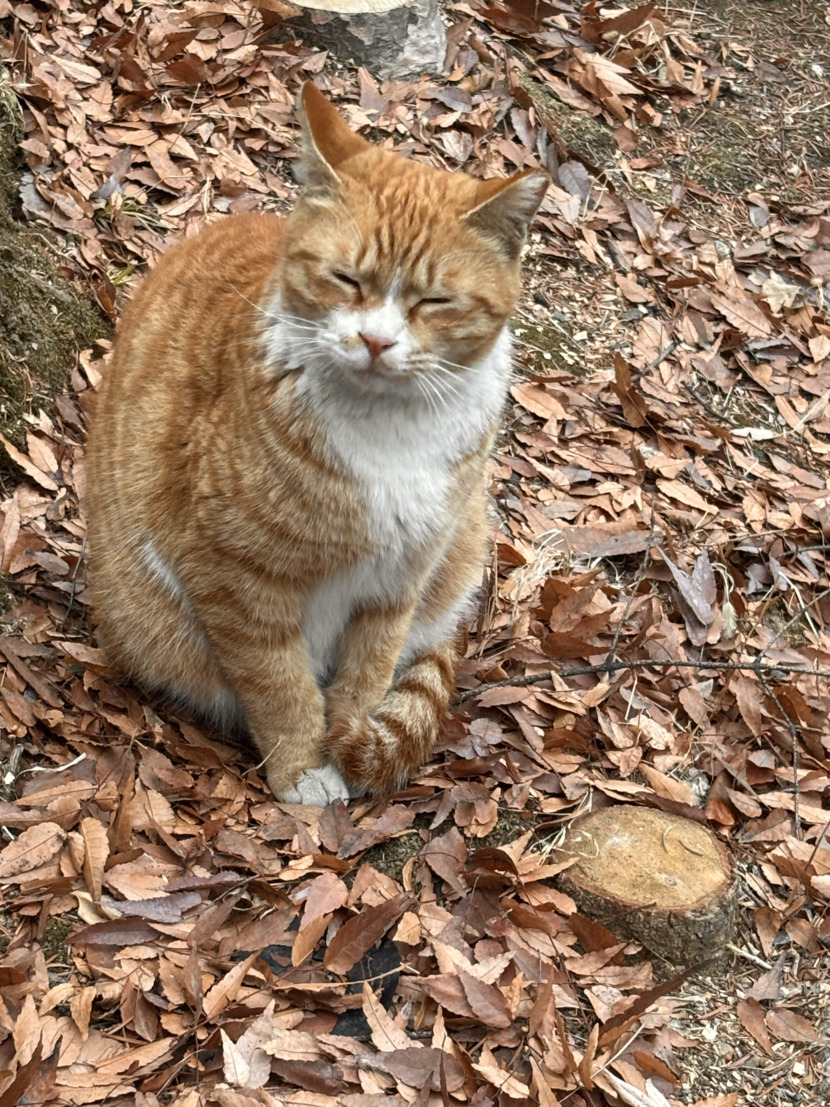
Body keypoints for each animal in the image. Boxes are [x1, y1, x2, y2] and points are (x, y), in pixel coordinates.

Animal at [84, 80, 548, 805]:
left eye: (435, 301)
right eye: (346, 279)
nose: (377, 341)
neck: (389, 431)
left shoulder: (401, 580)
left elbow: (370, 672)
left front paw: (348, 738)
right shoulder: (236, 576)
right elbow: (278, 684)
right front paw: (304, 767)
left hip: (461, 548)